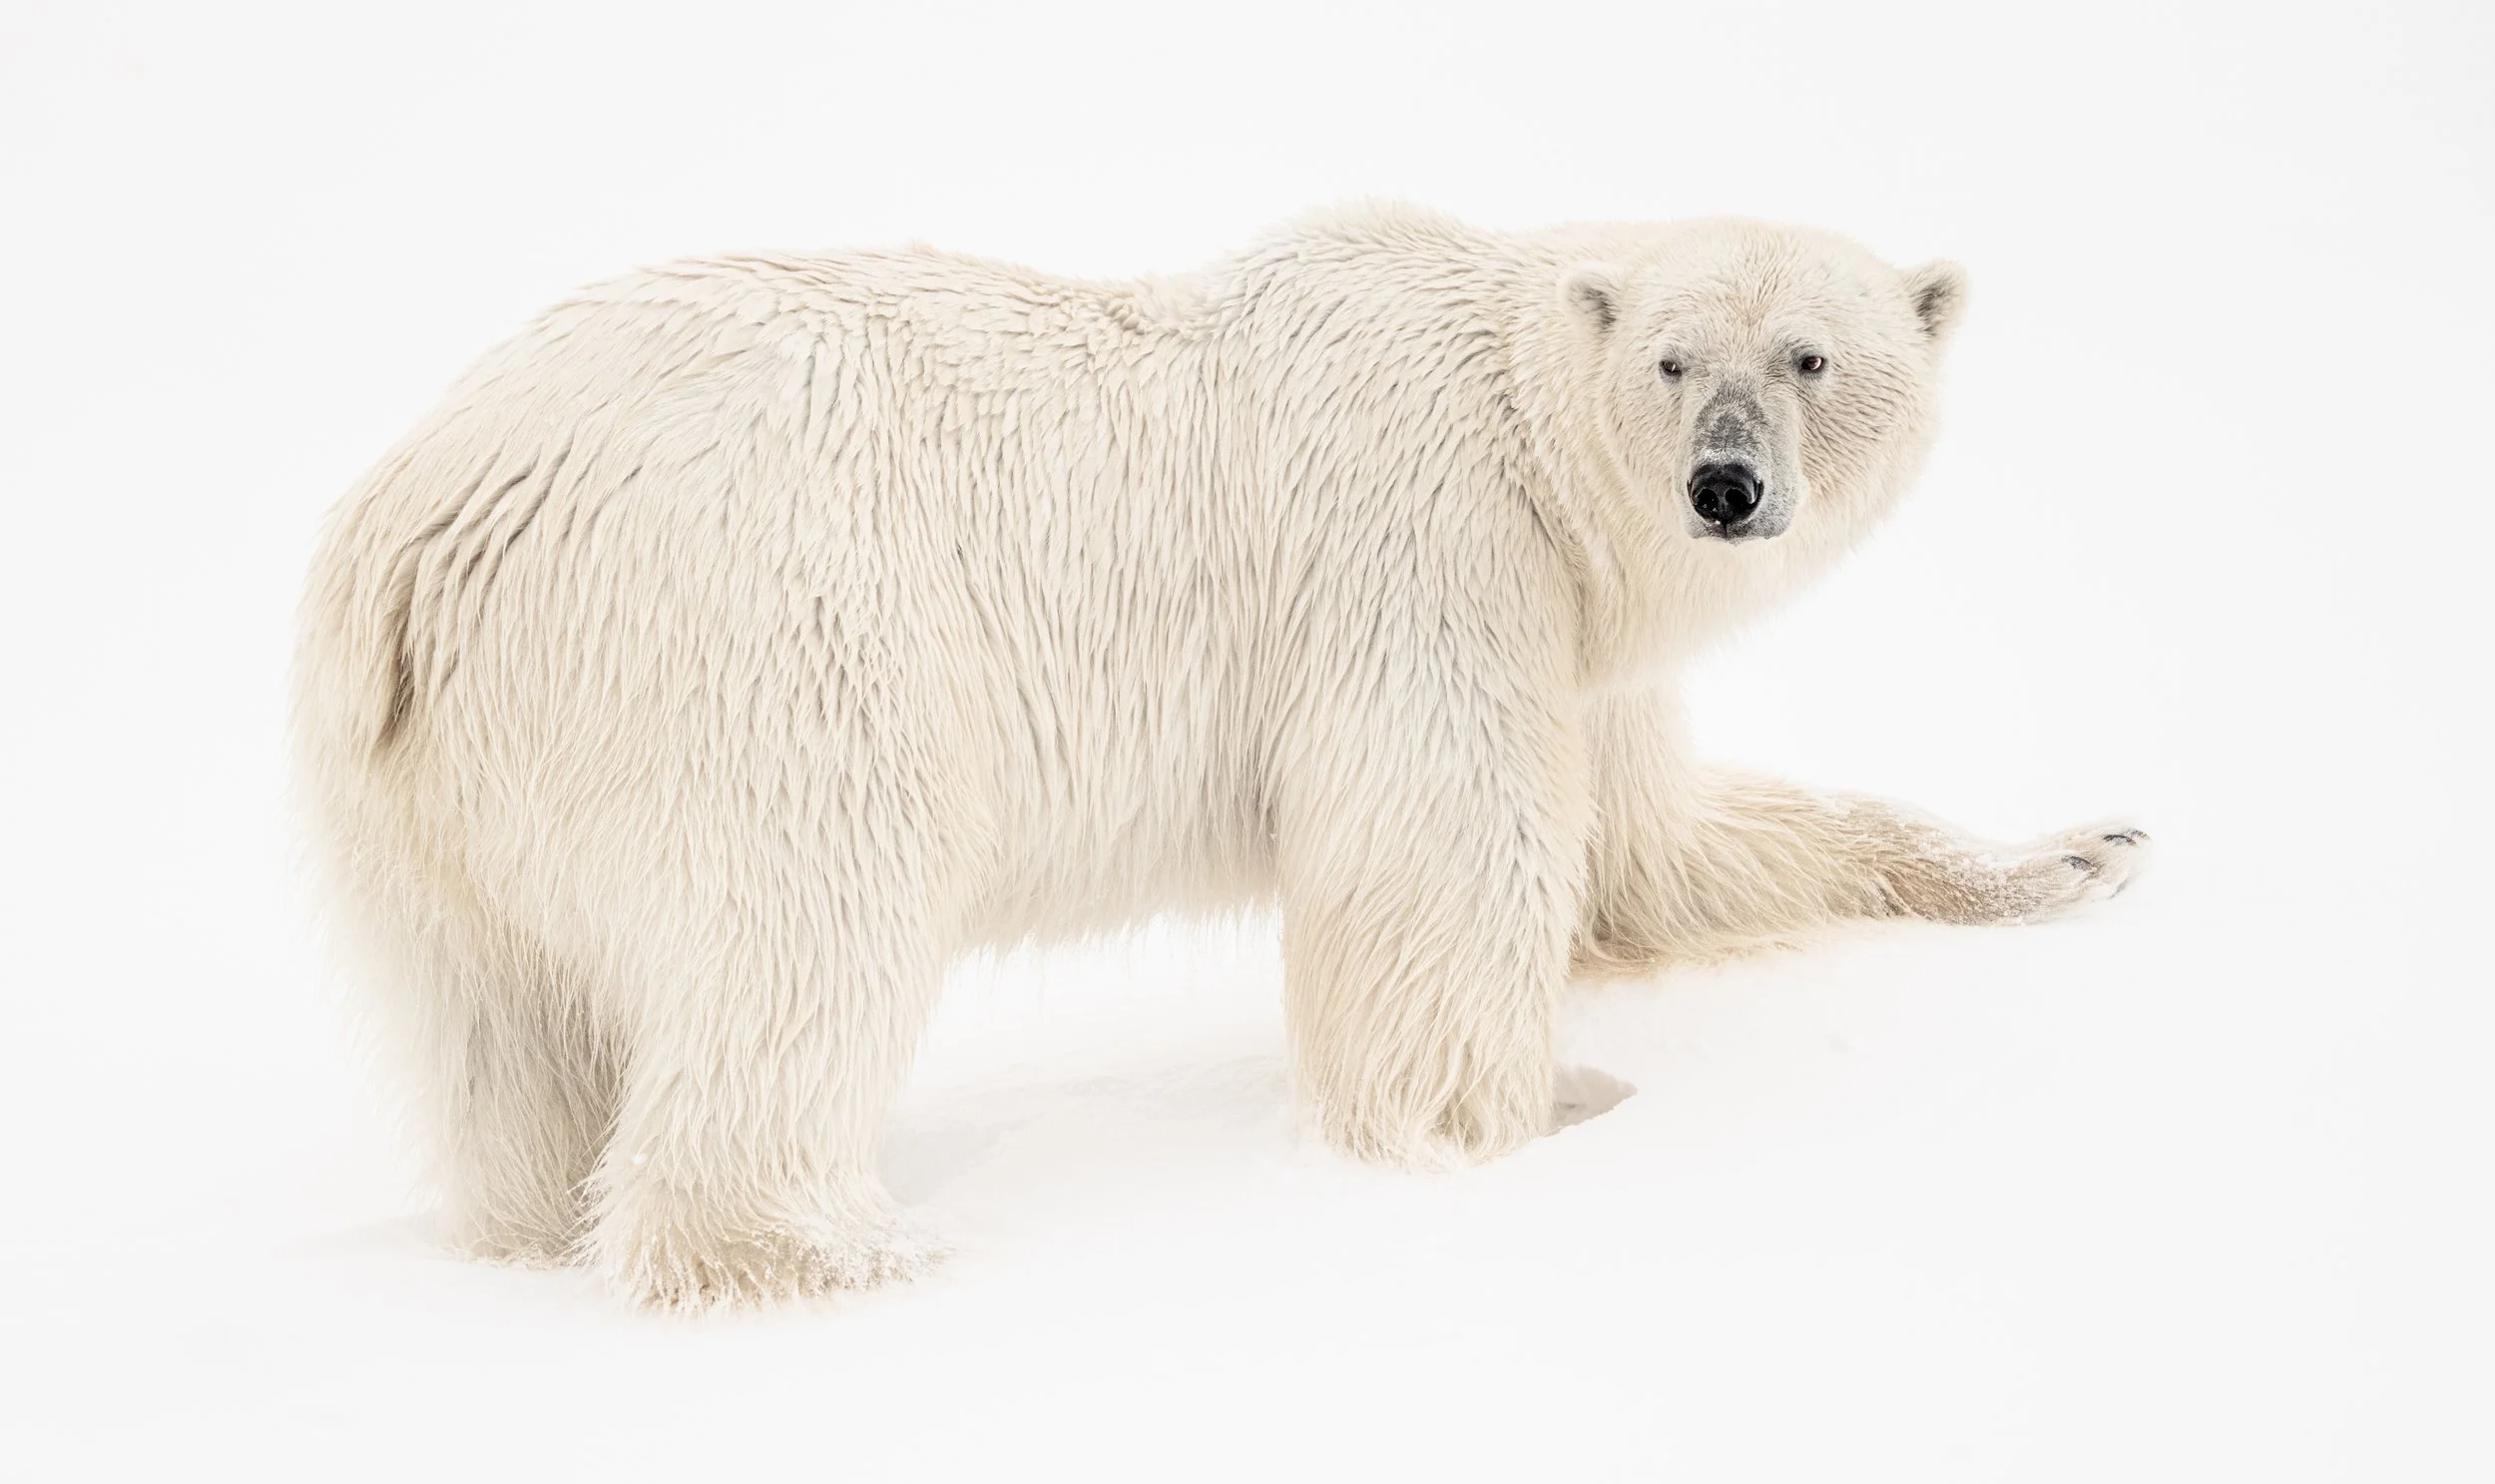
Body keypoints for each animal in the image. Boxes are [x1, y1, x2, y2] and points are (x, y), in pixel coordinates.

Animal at [294, 203, 2147, 1309]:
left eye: (1814, 355)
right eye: (1676, 355)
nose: (1726, 484)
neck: (1518, 424)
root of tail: (416, 523)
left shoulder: (1569, 636)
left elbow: (1653, 850)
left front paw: (2073, 853)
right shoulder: (1428, 543)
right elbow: (1440, 861)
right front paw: (1519, 1127)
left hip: (433, 786)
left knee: (511, 1024)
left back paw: (537, 1225)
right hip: (750, 637)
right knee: (809, 921)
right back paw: (851, 1245)